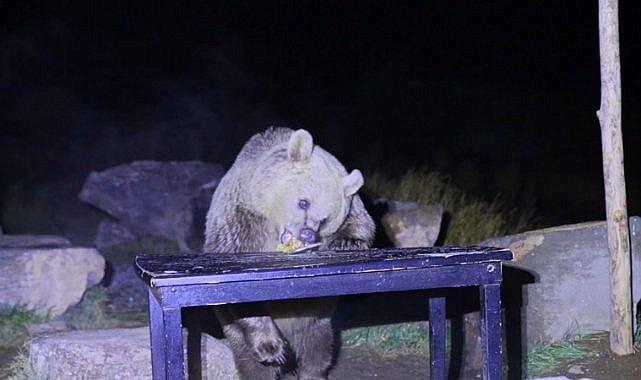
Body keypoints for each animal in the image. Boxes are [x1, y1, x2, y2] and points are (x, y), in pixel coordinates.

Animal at [204, 128, 376, 380]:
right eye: (303, 202)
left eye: (324, 219)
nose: (306, 234)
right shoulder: (241, 221)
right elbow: (242, 295)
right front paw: (270, 347)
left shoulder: (352, 204)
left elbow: (361, 222)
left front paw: (349, 241)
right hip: (233, 329)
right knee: (250, 360)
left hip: (315, 317)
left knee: (318, 347)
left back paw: (311, 372)